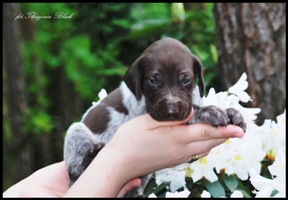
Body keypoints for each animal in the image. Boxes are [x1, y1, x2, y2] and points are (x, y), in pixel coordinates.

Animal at [64, 37, 246, 197]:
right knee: (73, 171)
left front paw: (232, 112)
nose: (171, 111)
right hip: (76, 133)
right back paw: (87, 161)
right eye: (152, 81)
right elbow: (194, 111)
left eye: (186, 79)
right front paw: (210, 112)